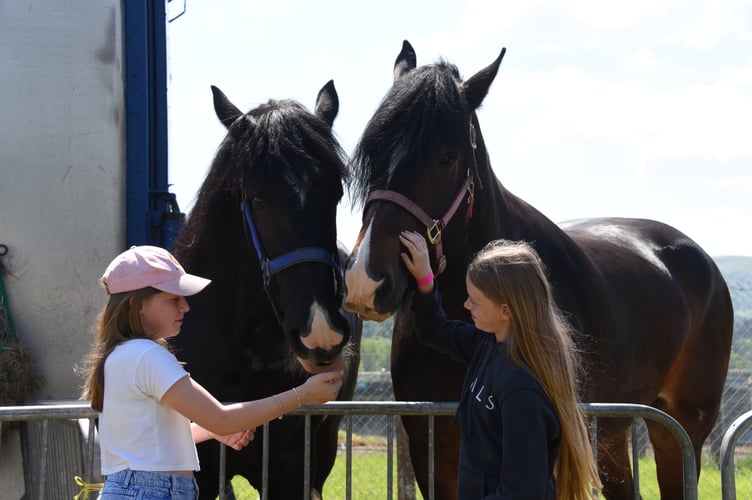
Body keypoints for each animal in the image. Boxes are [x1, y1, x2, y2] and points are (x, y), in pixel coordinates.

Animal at [343, 40, 733, 499]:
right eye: (371, 154)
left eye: (448, 158)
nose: (365, 280)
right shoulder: (429, 447)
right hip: (614, 432)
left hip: (680, 429)